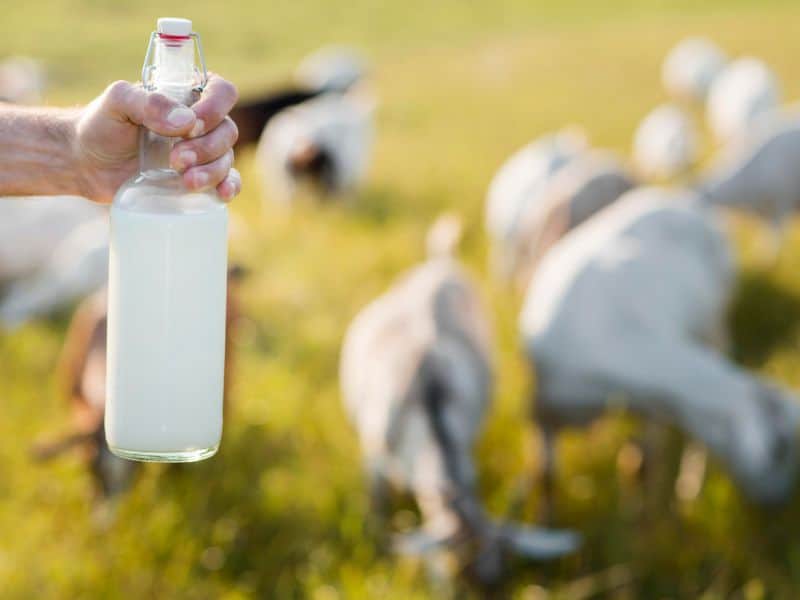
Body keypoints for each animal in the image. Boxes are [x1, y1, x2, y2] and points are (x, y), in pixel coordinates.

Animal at [520, 188, 796, 510]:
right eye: (779, 450)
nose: (780, 502)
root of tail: (683, 198)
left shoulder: (653, 403)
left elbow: (643, 464)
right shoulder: (543, 408)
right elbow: (546, 476)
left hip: (715, 323)